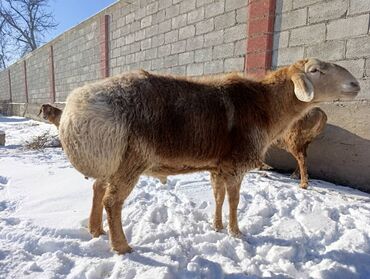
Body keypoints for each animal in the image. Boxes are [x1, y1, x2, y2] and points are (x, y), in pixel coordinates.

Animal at [58, 58, 358, 255]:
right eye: (315, 70)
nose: (355, 83)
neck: (267, 107)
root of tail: (74, 110)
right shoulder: (236, 164)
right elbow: (235, 201)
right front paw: (236, 232)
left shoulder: (218, 166)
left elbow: (218, 196)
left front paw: (216, 226)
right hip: (131, 159)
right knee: (112, 201)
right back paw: (121, 246)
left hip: (113, 159)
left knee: (98, 188)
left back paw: (96, 230)